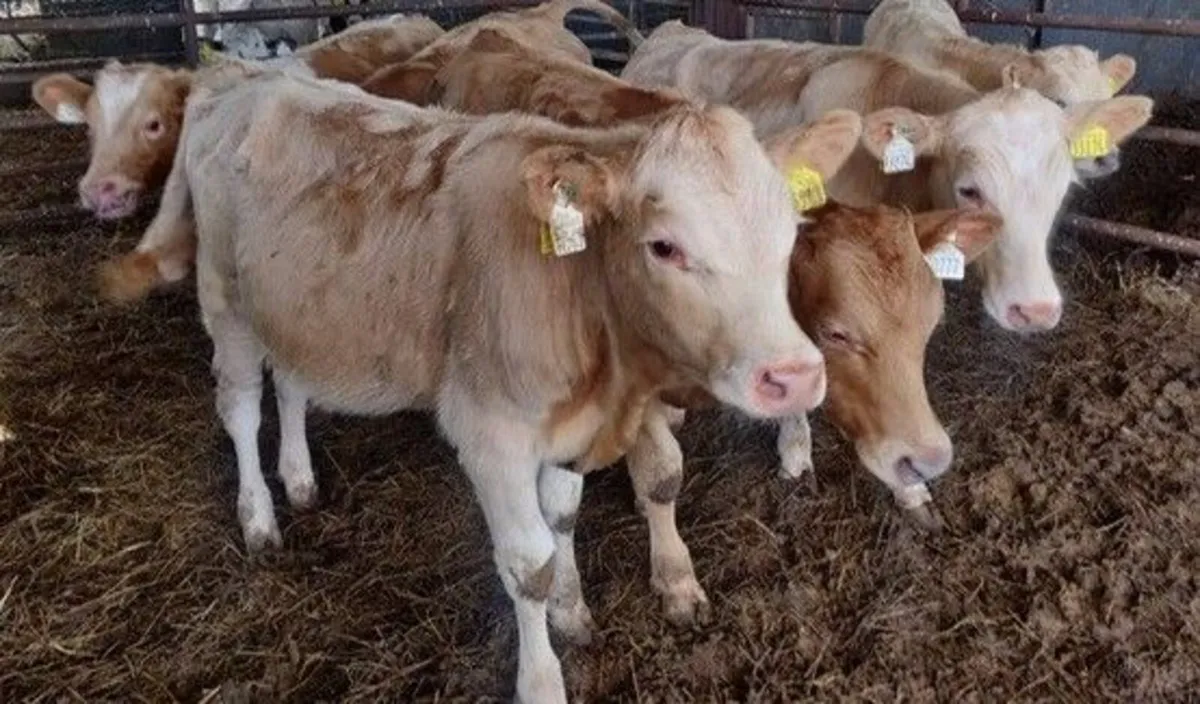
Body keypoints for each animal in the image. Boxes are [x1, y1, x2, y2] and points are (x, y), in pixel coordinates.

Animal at [129, 67, 862, 701]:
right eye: (664, 246)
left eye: (790, 231)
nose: (793, 377)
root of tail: (245, 79)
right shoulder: (491, 435)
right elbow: (528, 563)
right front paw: (542, 681)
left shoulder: (569, 427)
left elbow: (561, 516)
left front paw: (572, 610)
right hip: (226, 300)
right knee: (241, 407)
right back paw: (258, 517)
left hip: (296, 313)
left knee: (290, 385)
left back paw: (301, 478)